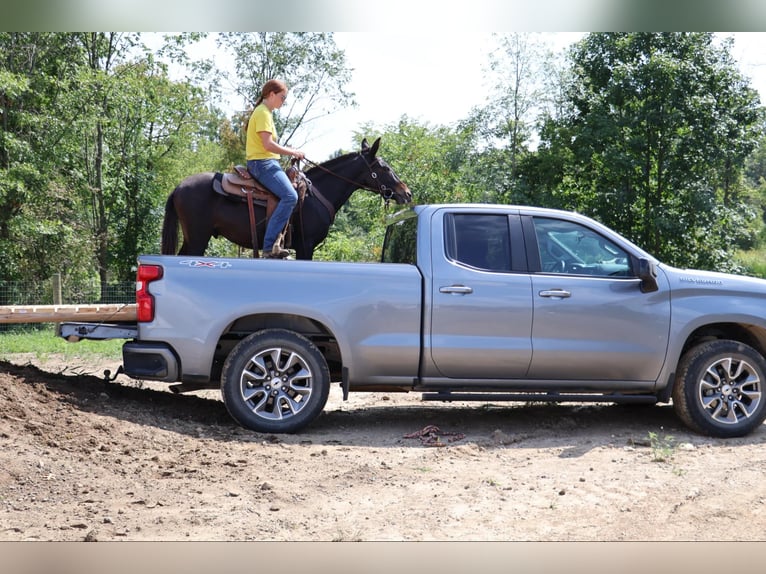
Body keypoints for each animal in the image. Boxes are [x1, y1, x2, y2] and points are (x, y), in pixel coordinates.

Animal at [160, 138, 414, 260]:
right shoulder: (305, 245)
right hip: (198, 239)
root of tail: (178, 187)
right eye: (384, 167)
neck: (317, 193)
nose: (406, 192)